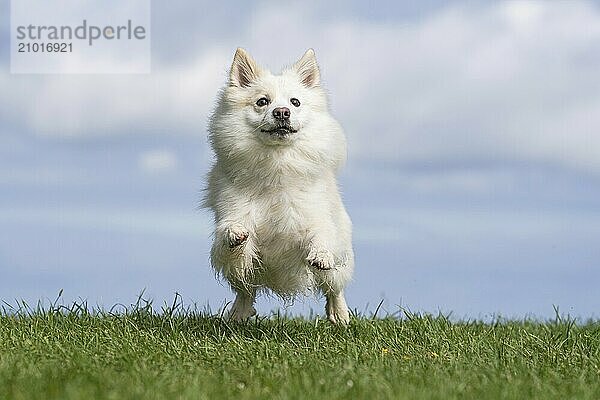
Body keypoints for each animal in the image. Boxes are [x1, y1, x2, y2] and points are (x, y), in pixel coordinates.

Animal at [206, 48, 354, 324]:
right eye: (262, 102)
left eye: (295, 102)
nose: (282, 112)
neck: (277, 163)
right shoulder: (234, 211)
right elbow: (232, 228)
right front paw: (235, 233)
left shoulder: (313, 217)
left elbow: (319, 235)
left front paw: (320, 254)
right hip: (243, 273)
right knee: (245, 289)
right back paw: (239, 313)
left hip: (339, 264)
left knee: (334, 288)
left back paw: (339, 315)